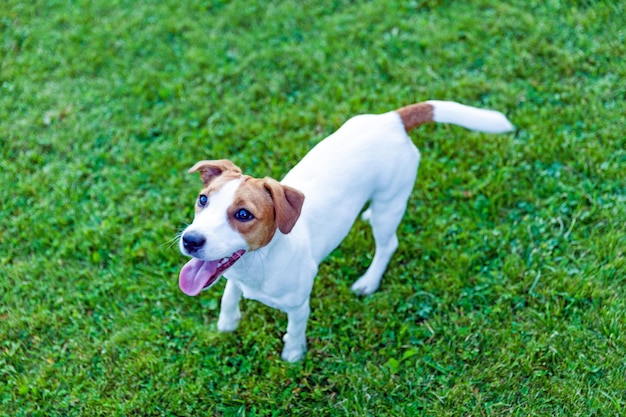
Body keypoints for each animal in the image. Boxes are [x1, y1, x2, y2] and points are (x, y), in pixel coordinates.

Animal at [177, 99, 512, 360]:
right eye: (203, 199)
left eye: (244, 214)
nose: (190, 240)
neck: (261, 261)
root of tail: (392, 119)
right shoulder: (233, 278)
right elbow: (228, 296)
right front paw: (227, 324)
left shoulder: (298, 305)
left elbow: (294, 330)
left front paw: (293, 355)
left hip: (391, 203)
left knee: (388, 244)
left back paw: (368, 281)